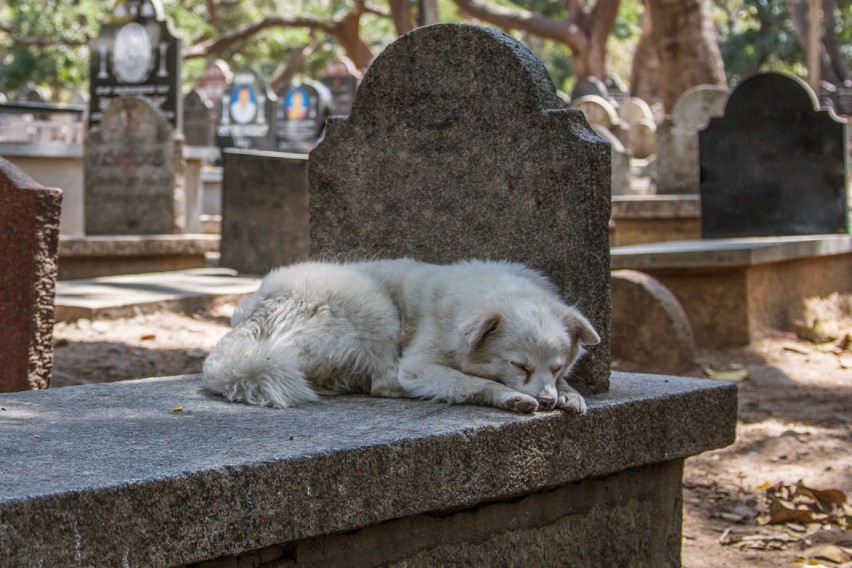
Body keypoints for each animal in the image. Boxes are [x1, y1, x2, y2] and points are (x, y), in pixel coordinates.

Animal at [202, 258, 600, 412]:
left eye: (558, 366)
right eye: (519, 366)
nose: (547, 400)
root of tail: (252, 318)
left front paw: (569, 394)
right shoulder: (419, 365)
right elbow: (470, 381)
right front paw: (510, 397)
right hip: (375, 306)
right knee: (383, 383)